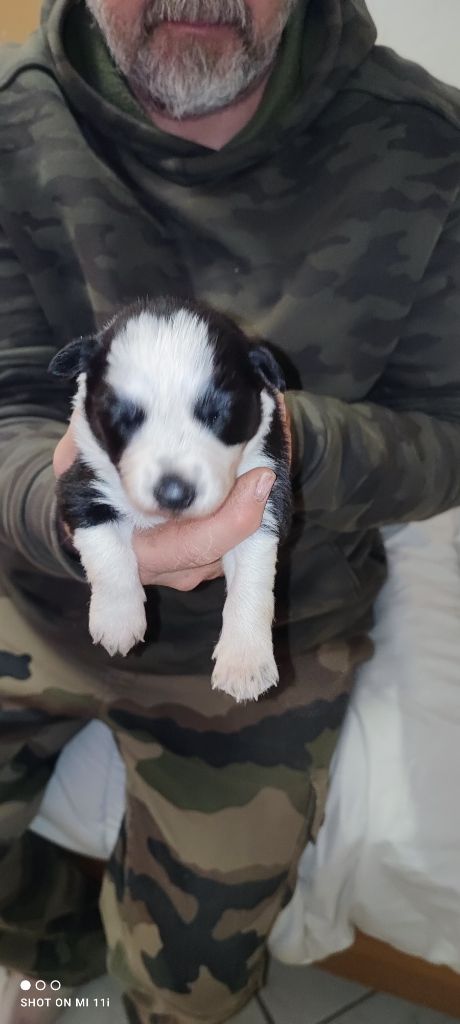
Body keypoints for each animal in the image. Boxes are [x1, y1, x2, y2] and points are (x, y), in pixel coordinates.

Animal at [49, 297, 291, 702]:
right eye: (124, 417)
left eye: (216, 414)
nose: (174, 491)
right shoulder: (81, 482)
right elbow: (105, 547)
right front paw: (117, 620)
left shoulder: (264, 492)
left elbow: (253, 579)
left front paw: (244, 661)